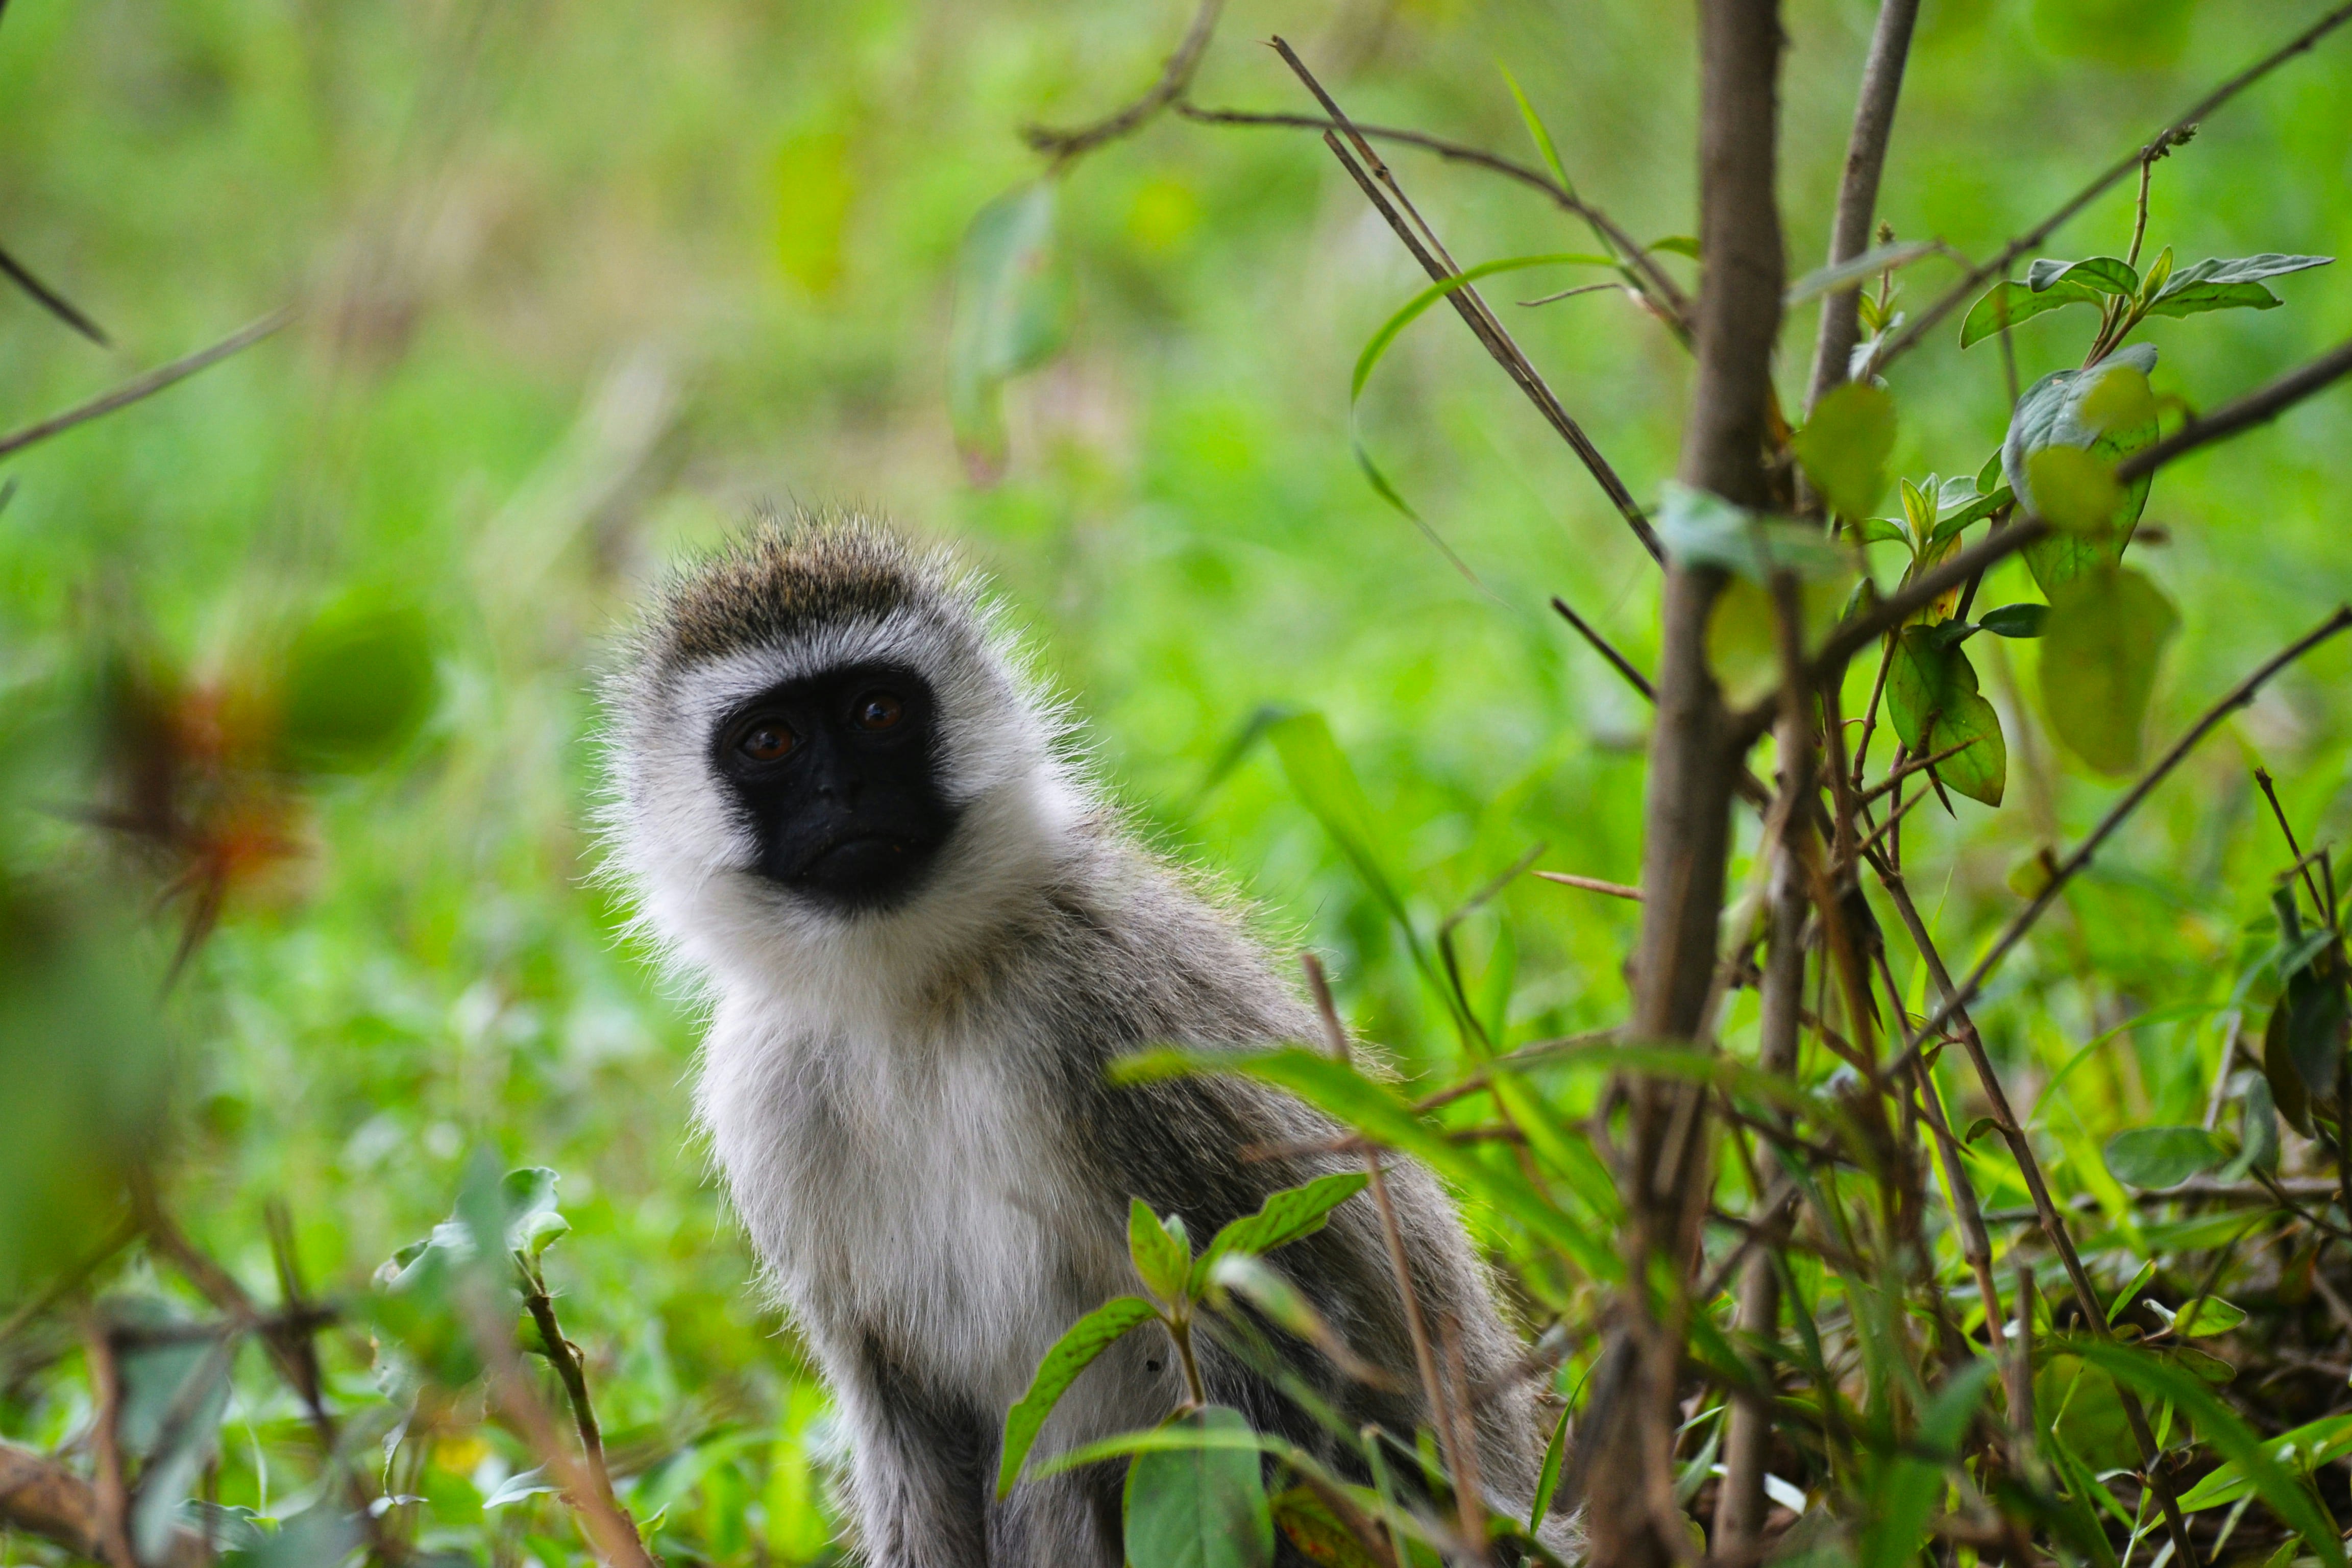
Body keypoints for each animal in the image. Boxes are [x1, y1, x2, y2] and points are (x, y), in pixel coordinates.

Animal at [600, 510, 1563, 1567]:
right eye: (769, 740)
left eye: (877, 713)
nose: (844, 791)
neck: (909, 993)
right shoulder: (763, 1093)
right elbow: (908, 1431)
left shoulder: (1104, 1019)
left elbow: (1304, 1358)